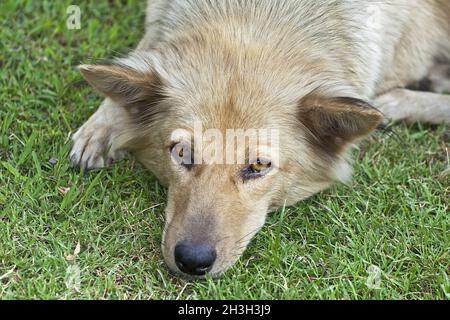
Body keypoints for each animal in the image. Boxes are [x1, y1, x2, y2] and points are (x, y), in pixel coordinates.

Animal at [68, 0, 448, 276]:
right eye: (181, 153)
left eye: (259, 166)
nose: (192, 262)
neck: (257, 13)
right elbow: (141, 56)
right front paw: (101, 127)